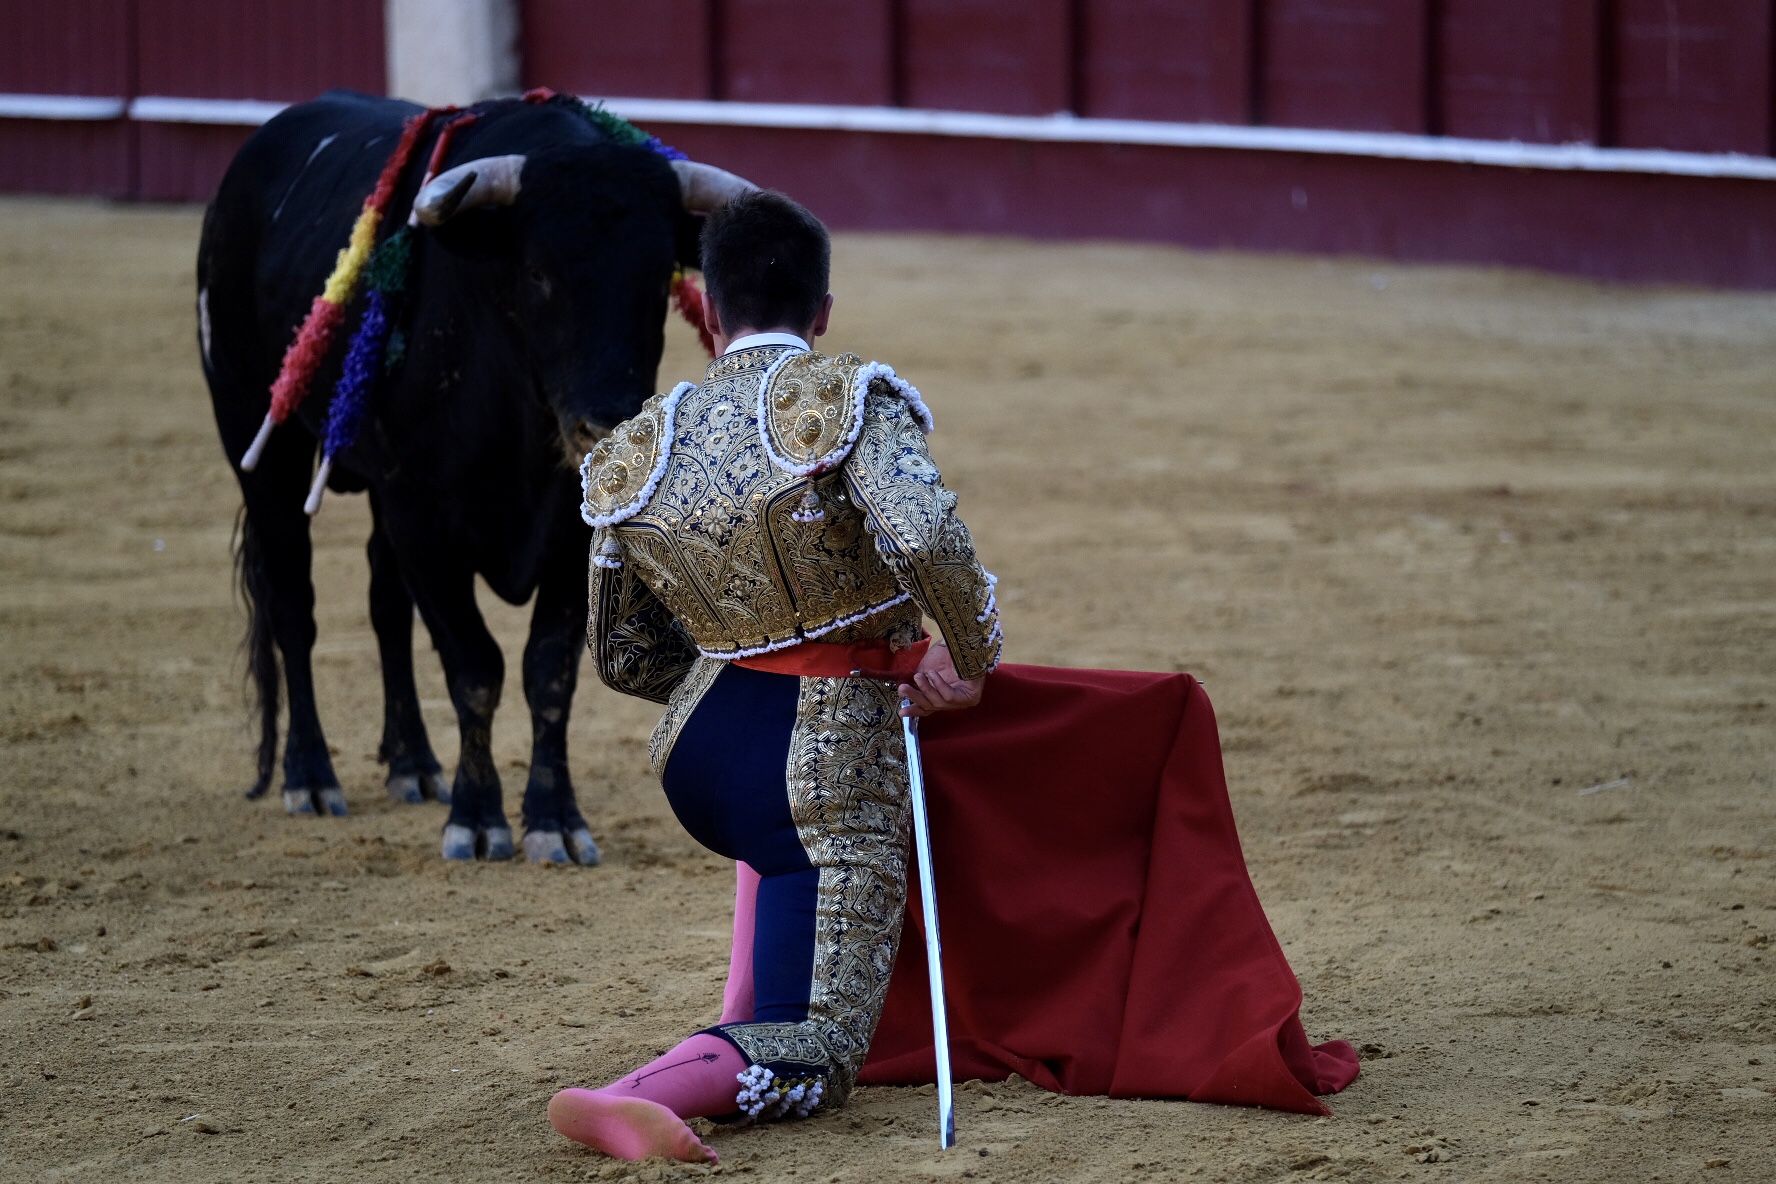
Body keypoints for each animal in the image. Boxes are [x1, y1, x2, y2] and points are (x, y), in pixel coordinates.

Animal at [199, 92, 742, 866]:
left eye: (654, 278)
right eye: (539, 273)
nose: (604, 419)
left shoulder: (561, 532)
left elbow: (549, 672)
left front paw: (554, 820)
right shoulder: (422, 523)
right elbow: (474, 667)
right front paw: (478, 819)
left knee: (384, 605)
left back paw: (412, 764)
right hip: (256, 434)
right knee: (292, 604)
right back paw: (310, 776)